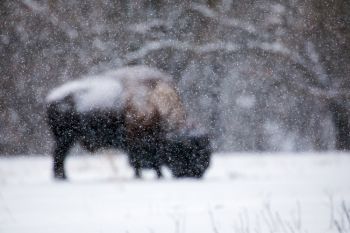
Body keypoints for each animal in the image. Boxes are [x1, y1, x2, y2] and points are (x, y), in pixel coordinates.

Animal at [46, 65, 211, 180]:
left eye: (206, 149)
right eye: (187, 151)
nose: (198, 172)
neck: (155, 103)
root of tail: (51, 97)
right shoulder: (135, 142)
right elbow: (139, 163)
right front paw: (141, 177)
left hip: (66, 139)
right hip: (64, 139)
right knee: (59, 158)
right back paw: (63, 178)